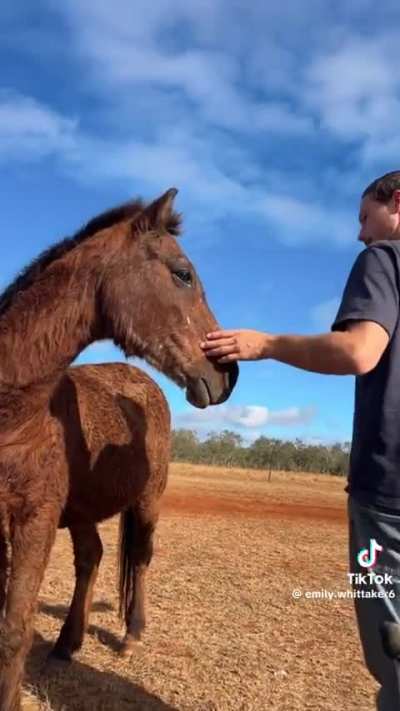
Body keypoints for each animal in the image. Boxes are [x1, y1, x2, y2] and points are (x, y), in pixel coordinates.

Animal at [0, 188, 238, 710]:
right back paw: (68, 642)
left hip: (147, 504)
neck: (15, 410)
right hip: (83, 511)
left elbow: (14, 630)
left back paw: (131, 635)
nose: (228, 374)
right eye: (183, 273)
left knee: (141, 559)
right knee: (91, 556)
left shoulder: (35, 519)